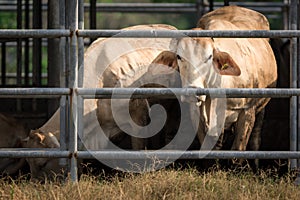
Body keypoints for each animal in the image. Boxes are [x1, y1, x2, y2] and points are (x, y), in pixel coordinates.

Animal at [154, 5, 278, 166]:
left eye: (209, 57)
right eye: (179, 56)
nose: (193, 90)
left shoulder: (247, 111)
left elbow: (237, 152)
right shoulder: (198, 115)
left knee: (255, 139)